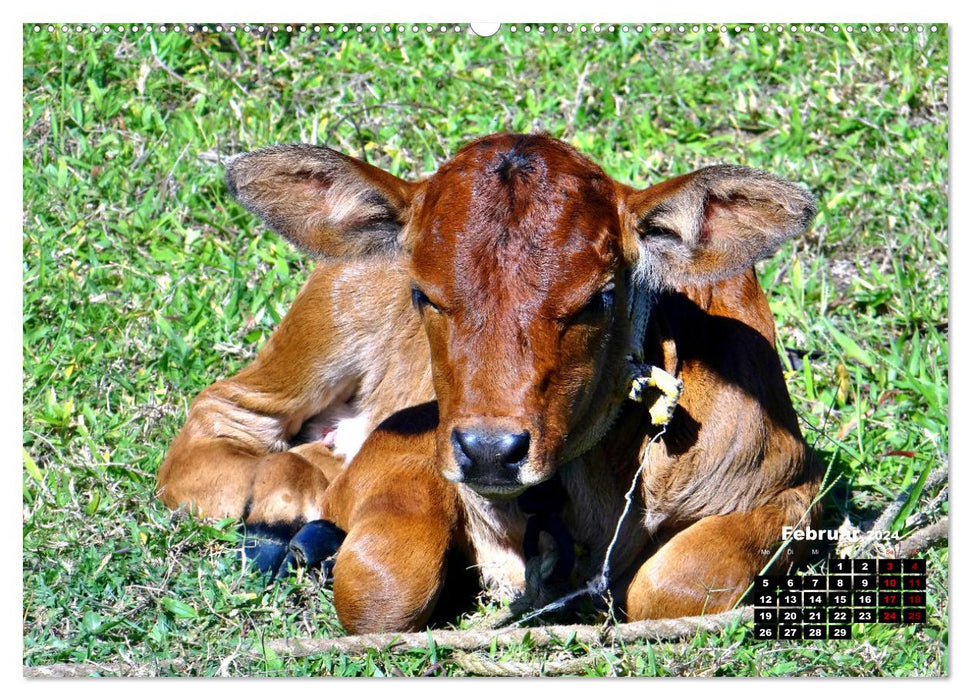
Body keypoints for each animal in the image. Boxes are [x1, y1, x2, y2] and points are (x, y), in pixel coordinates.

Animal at [158, 135, 820, 636]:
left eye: (599, 297)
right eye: (423, 293)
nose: (490, 451)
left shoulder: (792, 487)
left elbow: (672, 586)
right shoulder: (407, 446)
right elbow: (383, 584)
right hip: (327, 325)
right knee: (218, 419)